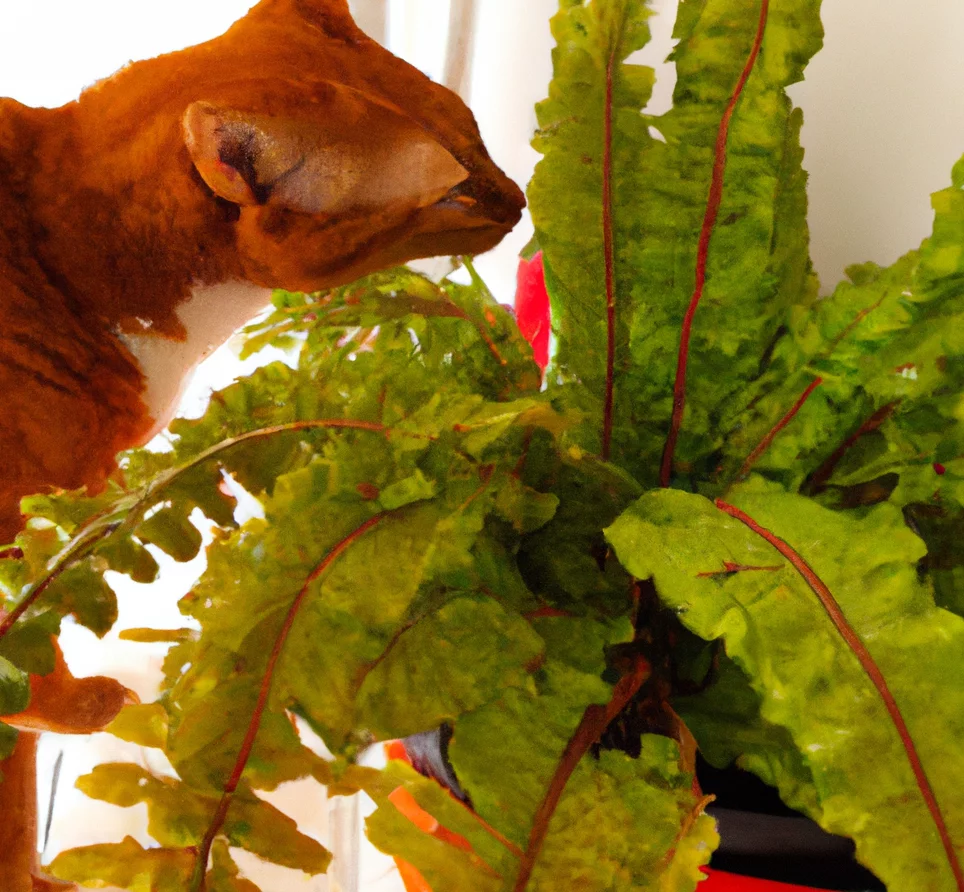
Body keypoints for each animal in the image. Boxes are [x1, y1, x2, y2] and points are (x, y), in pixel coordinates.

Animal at [0, 1, 524, 884]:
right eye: (452, 194)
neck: (62, 261)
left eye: (479, 134)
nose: (518, 201)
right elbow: (29, 674)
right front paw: (84, 705)